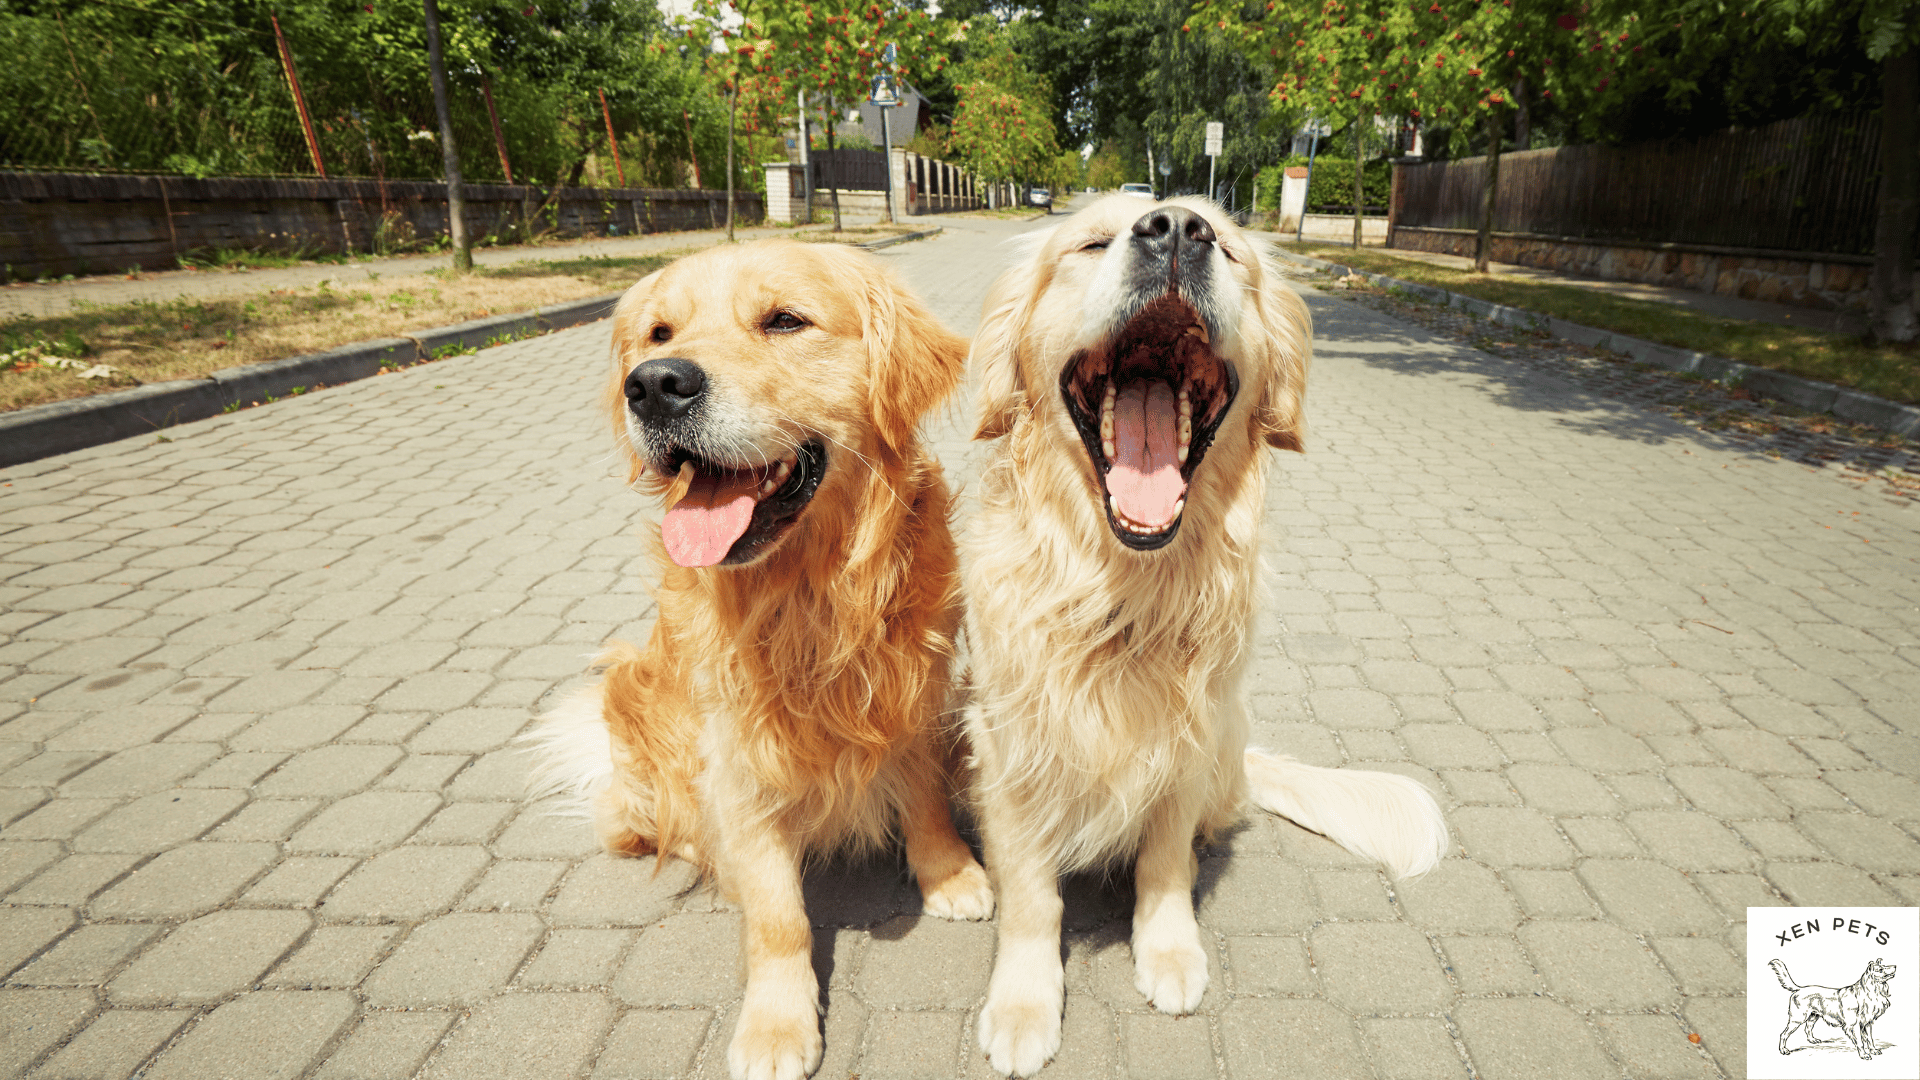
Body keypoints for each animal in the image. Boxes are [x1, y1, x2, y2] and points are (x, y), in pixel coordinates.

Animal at [529, 239, 998, 1076]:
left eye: (784, 321)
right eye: (659, 333)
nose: (654, 386)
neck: (808, 594)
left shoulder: (915, 693)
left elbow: (922, 799)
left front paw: (949, 874)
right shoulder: (738, 756)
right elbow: (779, 915)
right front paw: (777, 1025)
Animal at [967, 197, 1443, 1068]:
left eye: (1225, 243)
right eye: (1090, 242)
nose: (1175, 230)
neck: (1126, 593)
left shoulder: (1185, 740)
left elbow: (1163, 862)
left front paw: (1169, 950)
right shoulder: (1012, 751)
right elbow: (1031, 895)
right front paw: (1023, 1003)